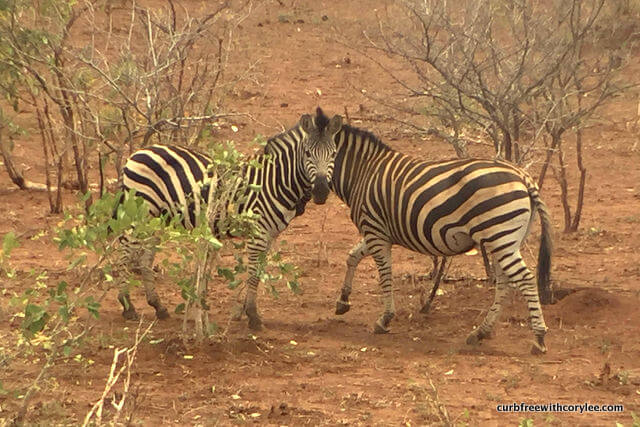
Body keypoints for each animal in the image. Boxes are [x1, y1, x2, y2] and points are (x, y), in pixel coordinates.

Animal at [115, 112, 344, 330]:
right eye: (307, 154)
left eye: (333, 154)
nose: (321, 192)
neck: (276, 181)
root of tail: (138, 152)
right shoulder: (258, 233)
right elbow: (253, 274)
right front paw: (253, 316)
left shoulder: (270, 234)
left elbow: (259, 271)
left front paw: (245, 312)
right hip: (141, 211)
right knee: (125, 250)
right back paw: (127, 305)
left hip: (158, 217)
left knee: (145, 258)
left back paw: (158, 306)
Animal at [308, 108, 552, 354]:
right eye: (308, 154)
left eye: (331, 155)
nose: (319, 193)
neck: (363, 172)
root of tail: (523, 177)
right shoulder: (379, 232)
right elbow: (353, 256)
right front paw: (343, 301)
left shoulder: (375, 229)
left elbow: (384, 273)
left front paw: (384, 319)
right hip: (507, 240)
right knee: (504, 282)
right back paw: (481, 332)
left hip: (499, 235)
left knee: (525, 279)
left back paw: (539, 338)